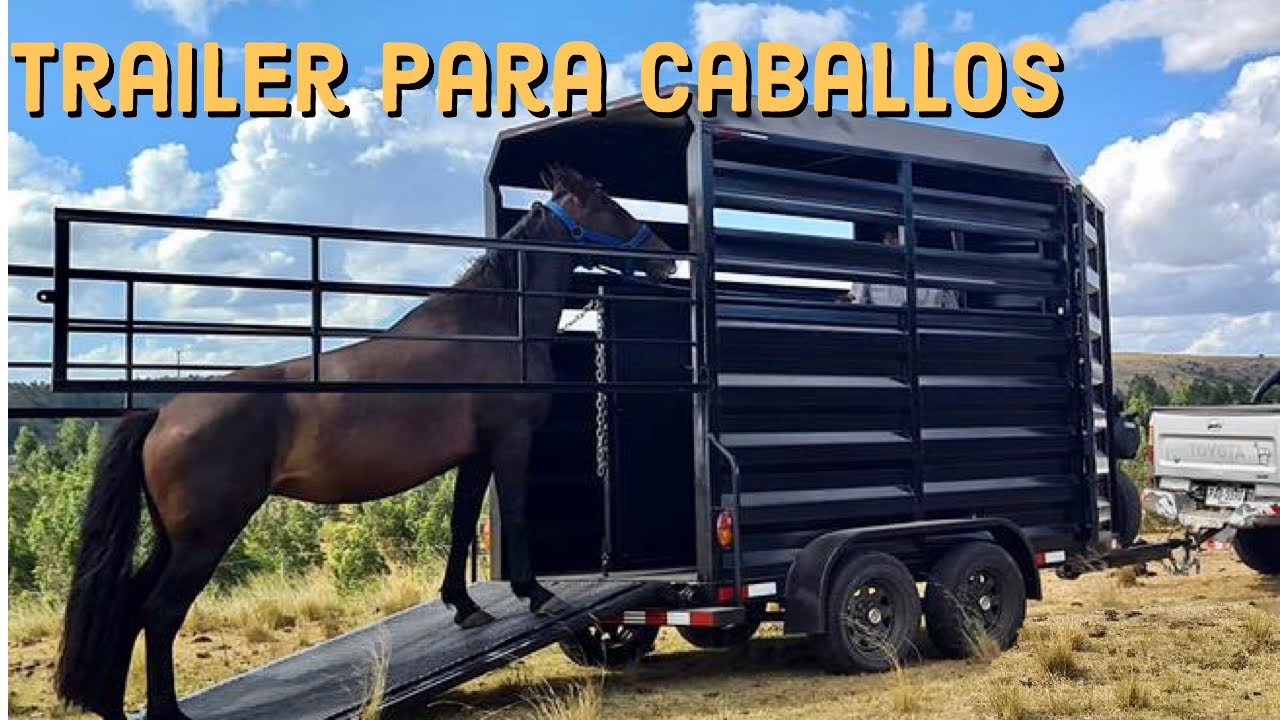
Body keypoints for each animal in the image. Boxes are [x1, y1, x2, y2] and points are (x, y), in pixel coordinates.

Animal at [54, 166, 677, 720]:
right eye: (606, 203)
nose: (665, 254)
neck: (498, 324)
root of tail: (162, 413)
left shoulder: (473, 455)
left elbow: (459, 525)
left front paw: (464, 606)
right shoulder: (509, 442)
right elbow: (517, 516)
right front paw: (536, 593)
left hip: (173, 538)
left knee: (128, 608)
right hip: (204, 537)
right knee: (159, 613)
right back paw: (167, 711)